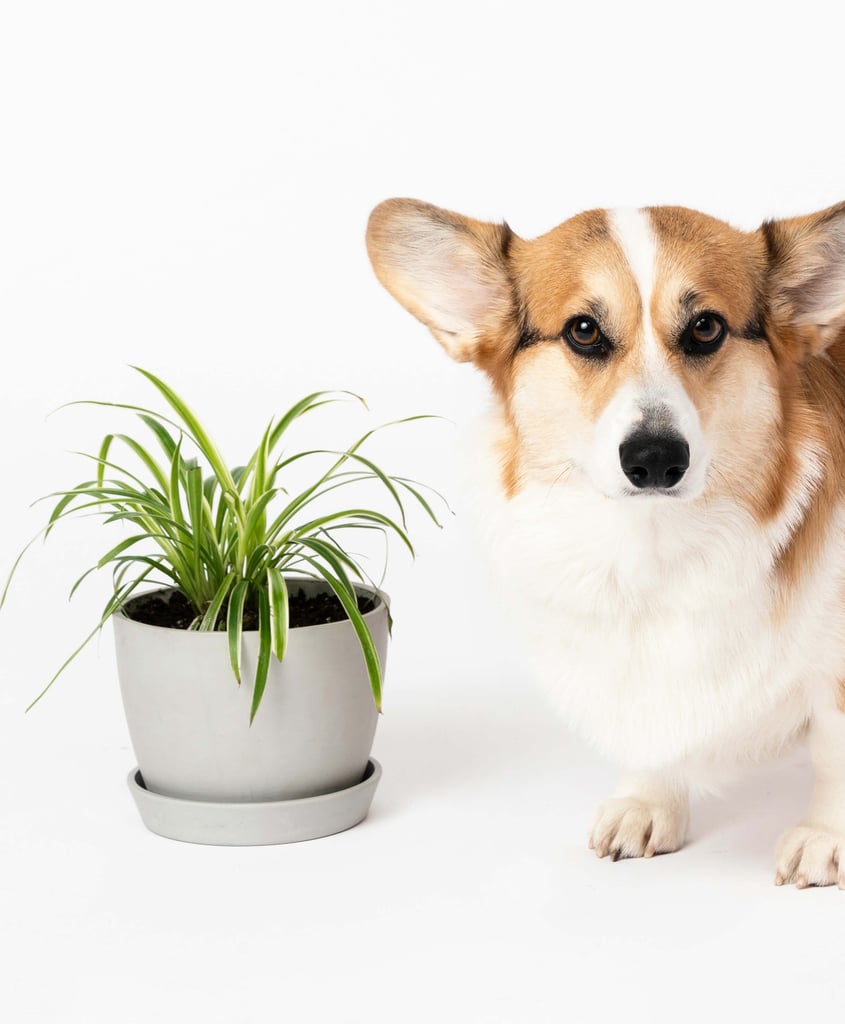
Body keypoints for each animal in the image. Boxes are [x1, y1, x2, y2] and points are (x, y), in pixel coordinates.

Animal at [368, 195, 845, 884]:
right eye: (584, 331)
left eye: (706, 328)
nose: (655, 459)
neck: (655, 547)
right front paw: (648, 802)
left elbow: (834, 749)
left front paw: (826, 836)